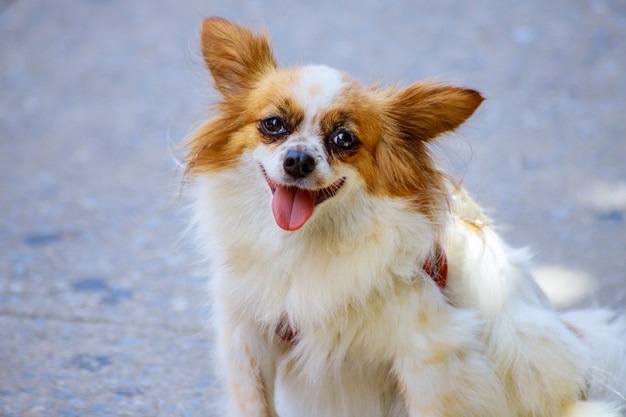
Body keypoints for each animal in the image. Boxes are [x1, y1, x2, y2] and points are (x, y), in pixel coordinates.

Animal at [184, 17, 624, 416]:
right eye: (273, 124)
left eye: (344, 139)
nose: (297, 160)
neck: (304, 243)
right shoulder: (247, 344)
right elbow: (255, 404)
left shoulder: (429, 356)